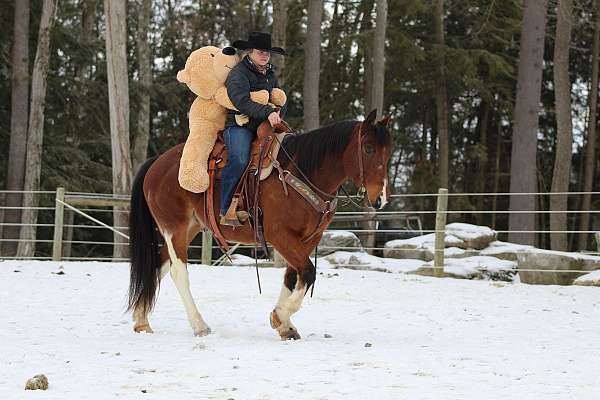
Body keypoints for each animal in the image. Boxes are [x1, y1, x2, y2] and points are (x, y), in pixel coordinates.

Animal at [126, 109, 394, 340]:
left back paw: (141, 320)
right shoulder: (279, 235)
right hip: (174, 227)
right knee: (178, 271)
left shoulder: (309, 238)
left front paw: (284, 325)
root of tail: (157, 163)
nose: (380, 198)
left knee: (158, 266)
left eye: (388, 152)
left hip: (188, 228)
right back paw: (199, 325)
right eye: (368, 148)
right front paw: (280, 316)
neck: (303, 171)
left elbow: (293, 275)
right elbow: (307, 272)